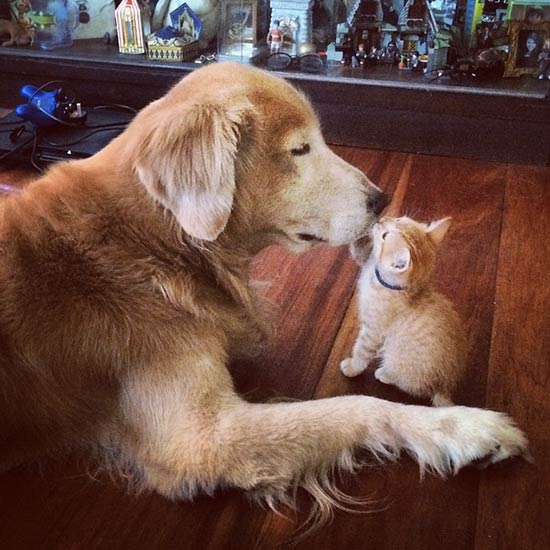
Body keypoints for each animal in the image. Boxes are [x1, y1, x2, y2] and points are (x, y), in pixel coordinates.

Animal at [340, 218, 470, 408]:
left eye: (385, 236)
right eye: (400, 219)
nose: (381, 220)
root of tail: (444, 386)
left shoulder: (373, 332)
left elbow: (361, 351)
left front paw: (352, 367)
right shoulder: (366, 260)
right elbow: (359, 249)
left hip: (398, 360)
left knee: (411, 385)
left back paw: (384, 374)